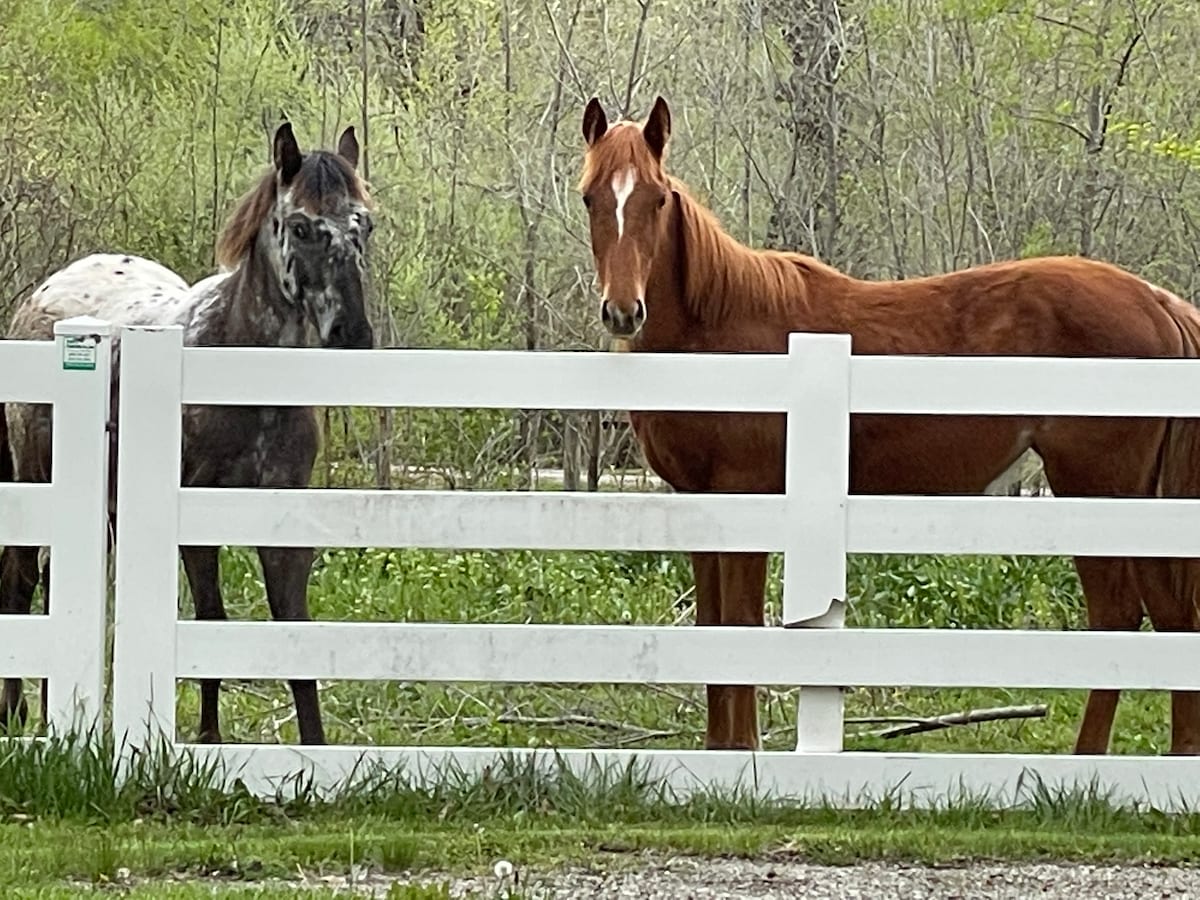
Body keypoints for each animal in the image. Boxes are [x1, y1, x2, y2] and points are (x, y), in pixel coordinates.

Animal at [0, 121, 374, 748]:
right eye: (300, 226)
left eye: (363, 224)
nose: (354, 332)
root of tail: (47, 291)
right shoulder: (198, 526)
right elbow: (210, 622)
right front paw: (209, 740)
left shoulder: (283, 529)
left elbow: (292, 632)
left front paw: (314, 750)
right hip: (36, 479)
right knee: (20, 578)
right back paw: (15, 715)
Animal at [580, 95, 1200, 763]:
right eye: (591, 197)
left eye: (657, 198)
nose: (623, 311)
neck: (718, 330)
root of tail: (1158, 301)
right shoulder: (699, 503)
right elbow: (712, 628)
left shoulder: (746, 495)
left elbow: (740, 624)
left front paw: (743, 750)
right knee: (1169, 616)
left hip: (1098, 488)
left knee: (1119, 614)